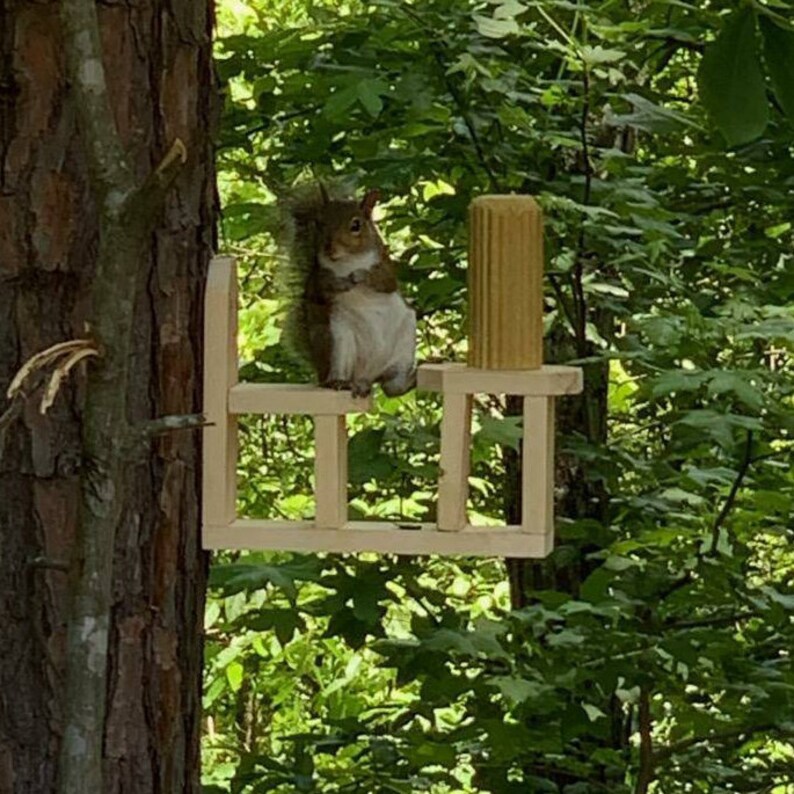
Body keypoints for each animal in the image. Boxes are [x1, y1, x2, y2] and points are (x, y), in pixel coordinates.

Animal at [281, 183, 416, 398]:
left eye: (356, 225)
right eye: (319, 223)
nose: (329, 248)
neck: (348, 260)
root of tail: (366, 378)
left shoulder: (385, 266)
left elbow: (386, 282)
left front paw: (359, 275)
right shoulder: (317, 279)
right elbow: (322, 289)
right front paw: (343, 283)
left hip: (405, 340)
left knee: (392, 387)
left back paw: (410, 379)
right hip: (339, 341)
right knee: (340, 376)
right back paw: (340, 382)